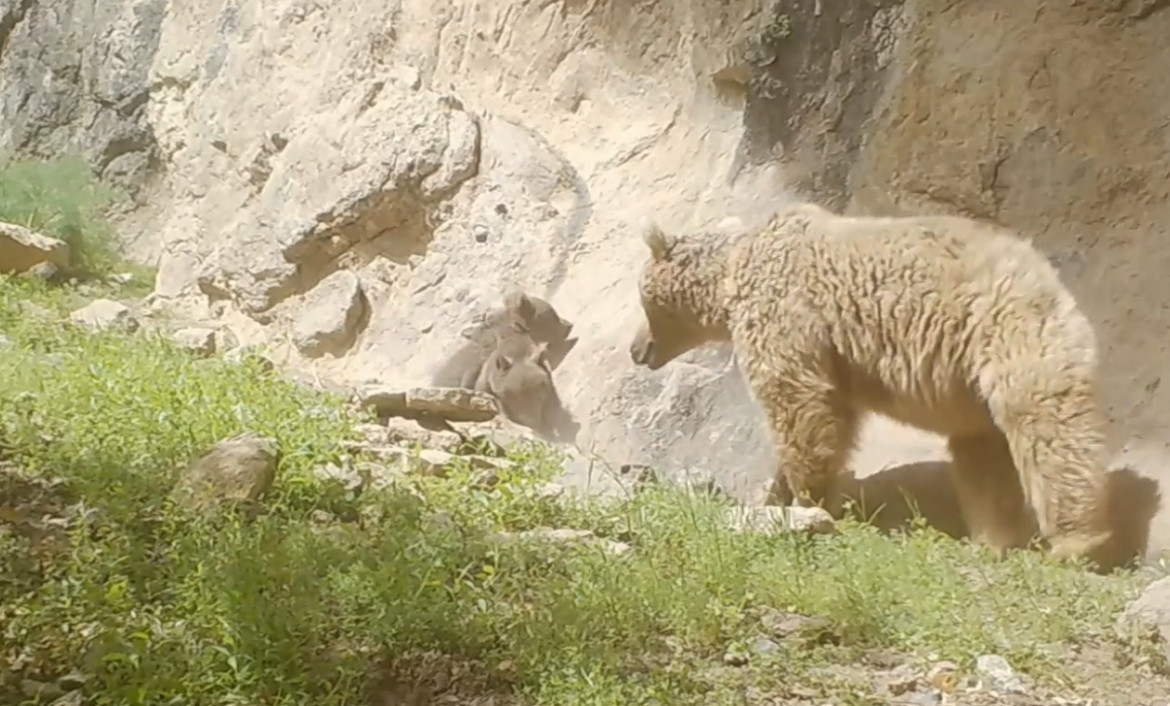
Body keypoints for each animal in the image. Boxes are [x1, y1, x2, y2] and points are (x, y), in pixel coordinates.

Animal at [631, 201, 1113, 571]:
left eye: (641, 299)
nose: (637, 349)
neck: (729, 275)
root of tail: (1051, 280)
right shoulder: (836, 358)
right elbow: (833, 416)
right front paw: (783, 494)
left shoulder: (784, 310)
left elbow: (796, 400)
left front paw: (804, 499)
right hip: (975, 382)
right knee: (982, 452)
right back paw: (992, 540)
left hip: (1006, 331)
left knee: (1045, 427)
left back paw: (1077, 542)